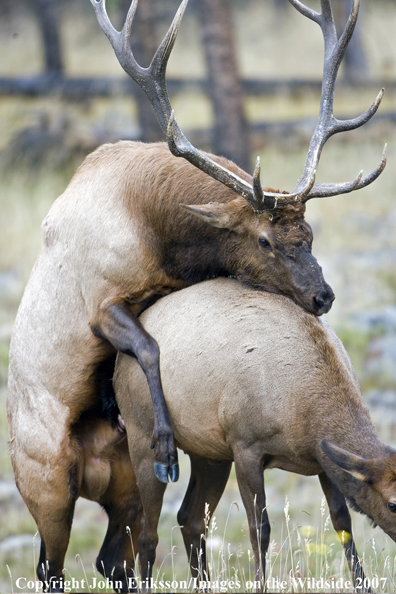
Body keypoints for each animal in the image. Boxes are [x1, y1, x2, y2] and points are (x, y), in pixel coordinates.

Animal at [115, 278, 396, 592]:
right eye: (392, 503)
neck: (303, 420)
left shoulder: (322, 460)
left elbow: (342, 522)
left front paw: (364, 585)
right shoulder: (246, 447)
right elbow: (259, 529)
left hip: (211, 455)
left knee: (191, 519)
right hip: (144, 440)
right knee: (147, 535)